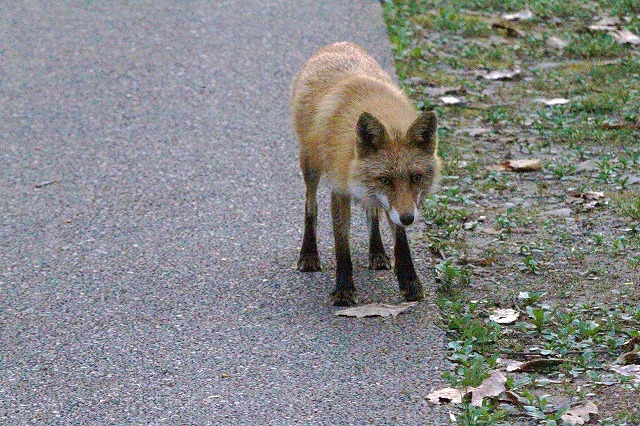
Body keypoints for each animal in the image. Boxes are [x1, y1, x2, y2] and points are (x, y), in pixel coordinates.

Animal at [290, 42, 440, 306]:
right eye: (385, 179)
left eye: (416, 177)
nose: (409, 218)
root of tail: (338, 43)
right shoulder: (339, 189)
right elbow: (342, 245)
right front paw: (344, 289)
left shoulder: (397, 204)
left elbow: (400, 239)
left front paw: (410, 282)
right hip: (310, 165)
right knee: (311, 206)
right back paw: (308, 254)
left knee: (373, 214)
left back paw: (377, 251)